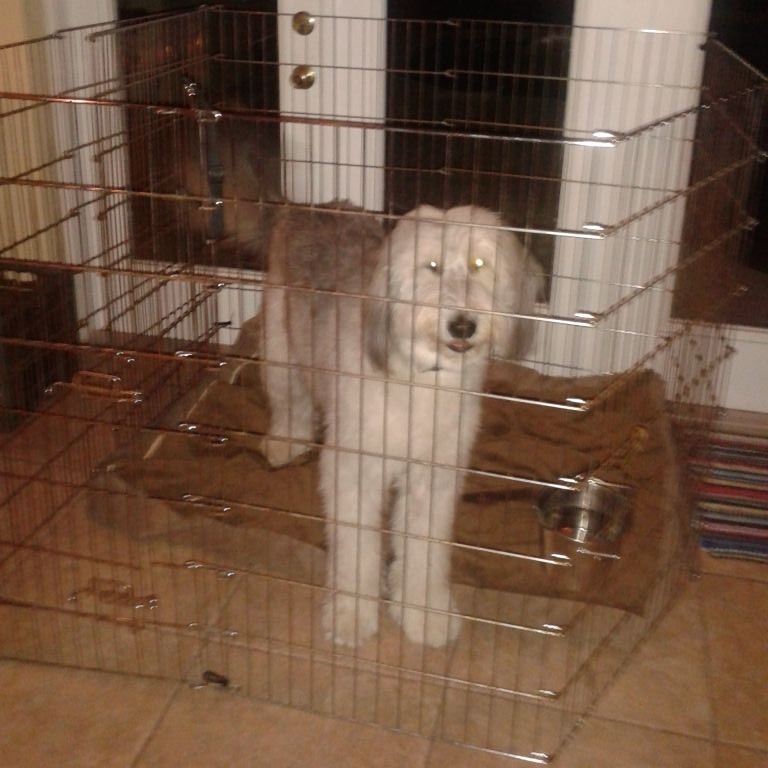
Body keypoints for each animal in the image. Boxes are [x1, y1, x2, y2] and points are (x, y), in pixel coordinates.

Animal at [260, 202, 544, 648]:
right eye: (432, 266)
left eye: (479, 264)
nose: (462, 326)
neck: (421, 379)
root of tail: (316, 207)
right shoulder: (355, 469)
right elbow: (356, 549)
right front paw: (351, 615)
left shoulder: (433, 475)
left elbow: (424, 548)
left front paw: (423, 614)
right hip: (279, 347)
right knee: (291, 403)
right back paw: (285, 442)